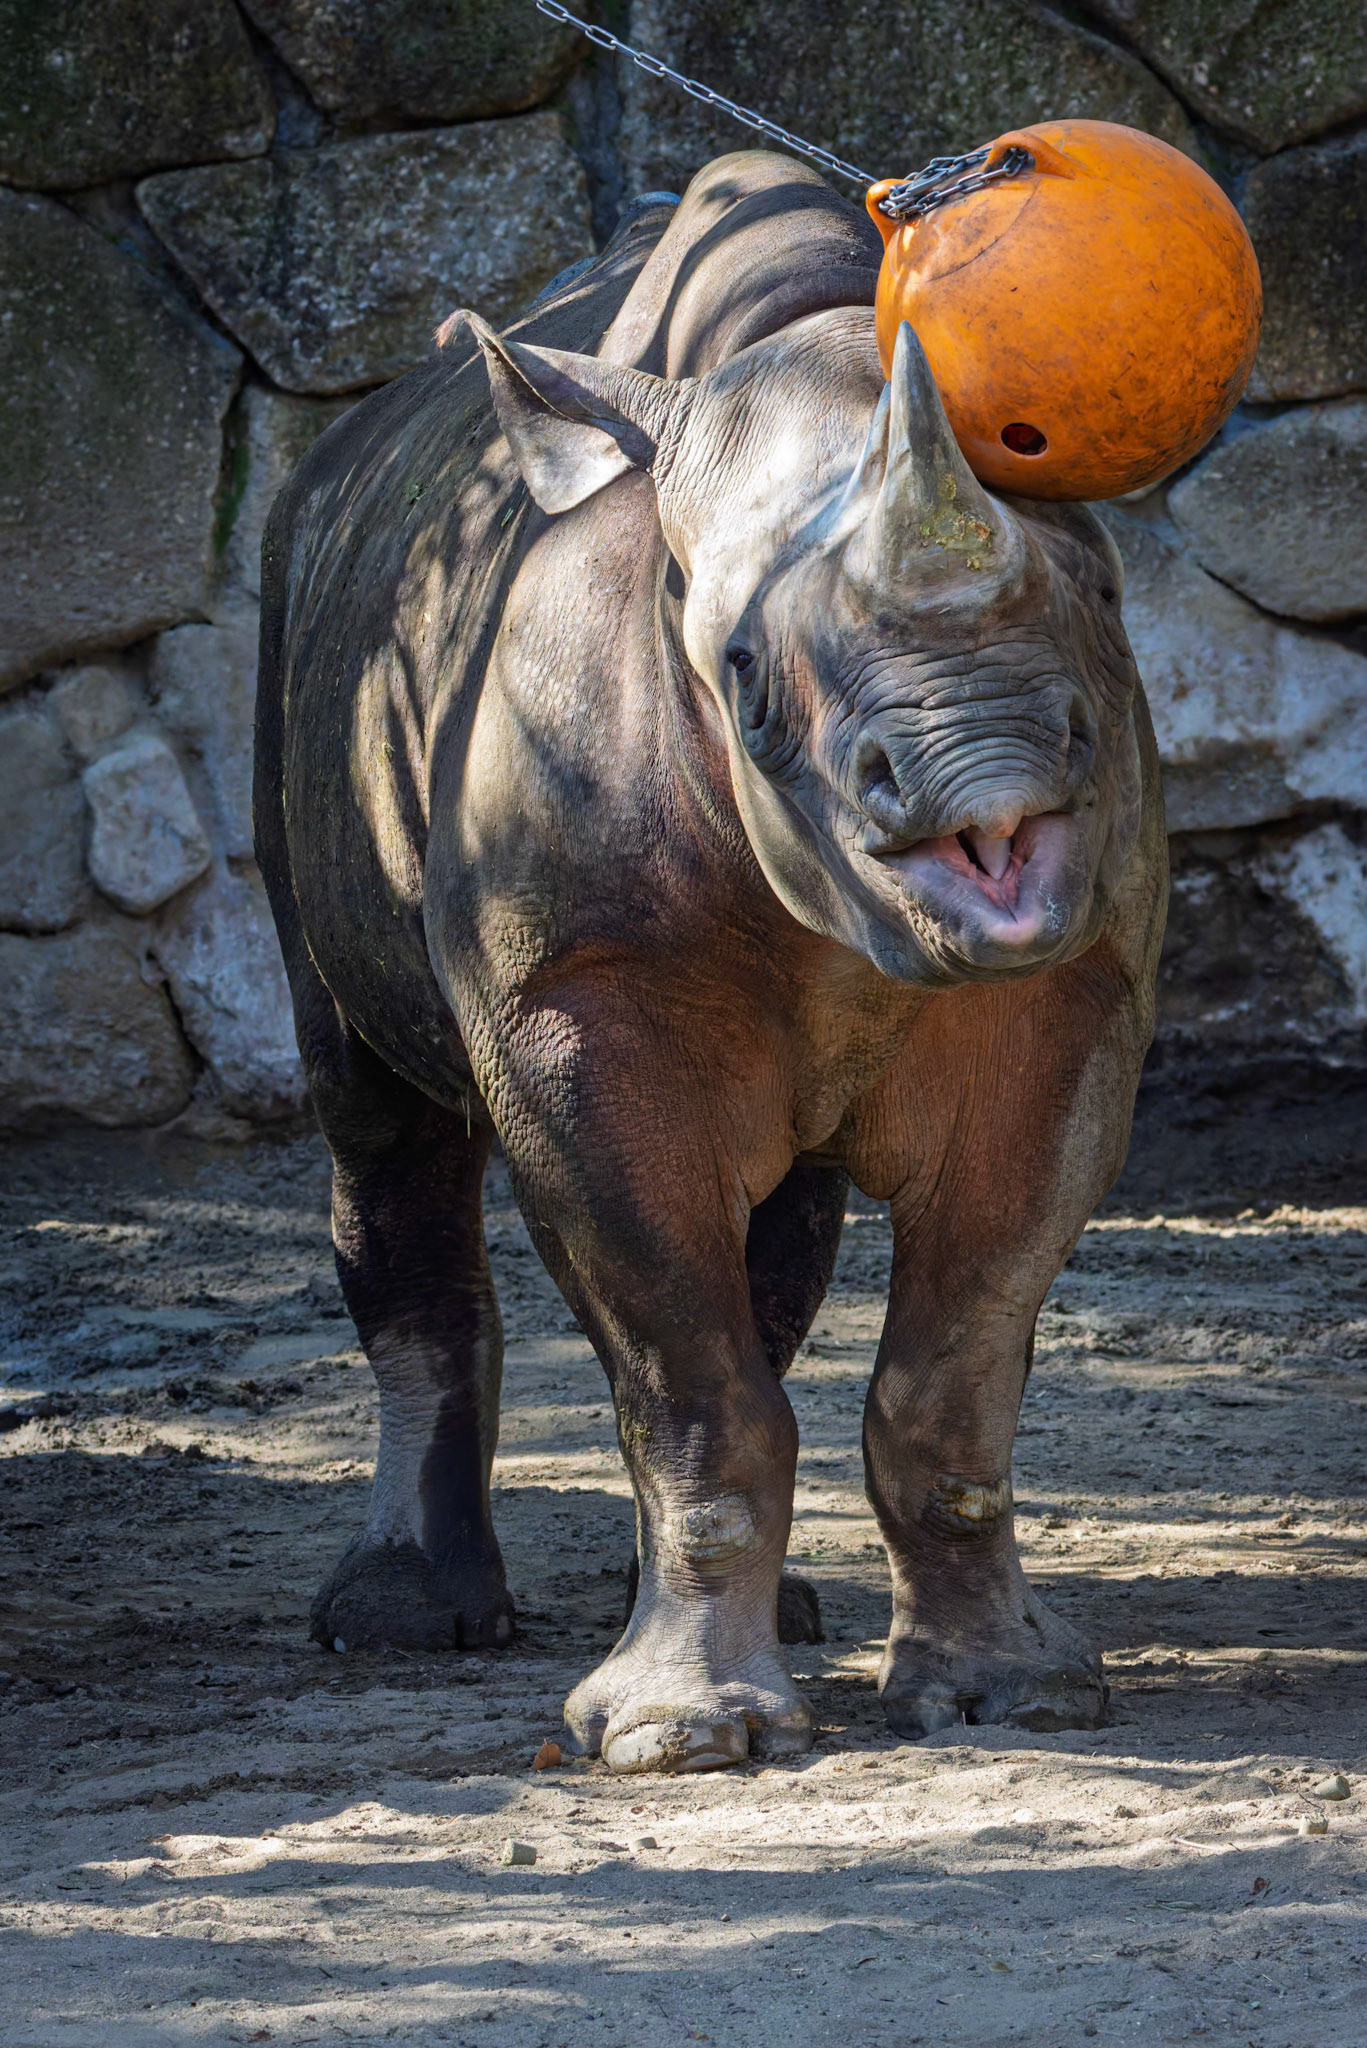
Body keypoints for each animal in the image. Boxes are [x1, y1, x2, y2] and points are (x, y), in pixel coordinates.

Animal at [256, 152, 1166, 1773]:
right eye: (739, 671)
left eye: (1108, 602)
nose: (985, 777)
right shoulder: (570, 998)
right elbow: (680, 1374)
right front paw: (674, 1741)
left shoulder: (1070, 996)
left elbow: (952, 1366)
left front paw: (1011, 1696)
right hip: (297, 602)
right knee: (375, 1117)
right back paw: (401, 1623)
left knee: (774, 1232)